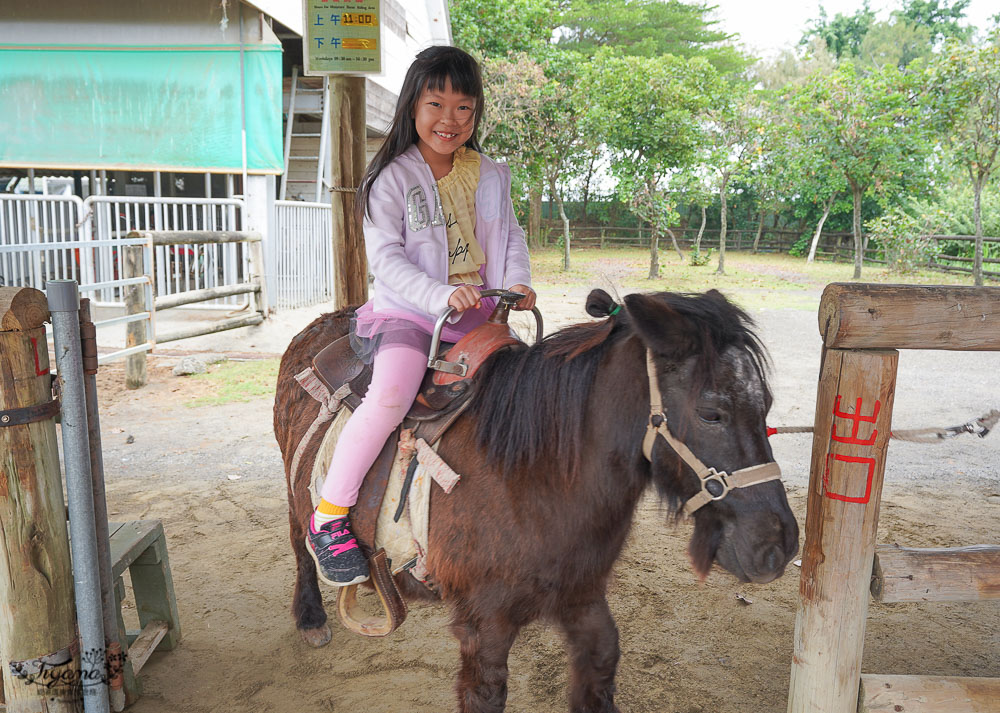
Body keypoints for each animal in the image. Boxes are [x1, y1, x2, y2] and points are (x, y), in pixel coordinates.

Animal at [272, 288, 796, 712]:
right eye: (711, 412)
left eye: (767, 406)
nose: (779, 546)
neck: (531, 477)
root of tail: (324, 322)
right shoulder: (485, 623)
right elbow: (485, 693)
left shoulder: (580, 593)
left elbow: (601, 663)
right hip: (297, 493)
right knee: (301, 542)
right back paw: (313, 611)